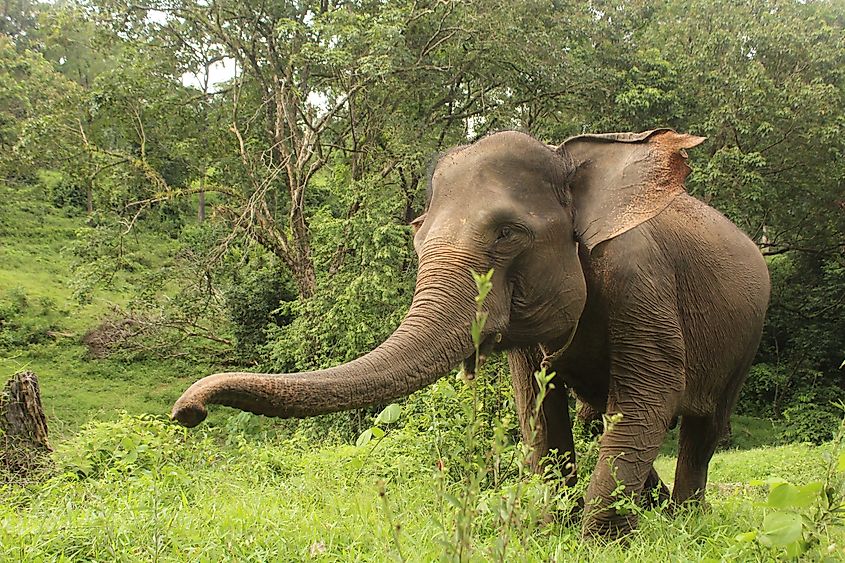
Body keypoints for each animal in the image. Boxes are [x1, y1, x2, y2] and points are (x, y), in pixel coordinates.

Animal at [172, 129, 770, 537]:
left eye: (507, 234)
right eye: (417, 240)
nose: (188, 411)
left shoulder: (640, 281)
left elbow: (649, 399)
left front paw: (593, 541)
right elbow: (537, 410)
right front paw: (557, 528)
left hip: (748, 336)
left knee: (698, 428)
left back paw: (686, 519)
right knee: (605, 414)